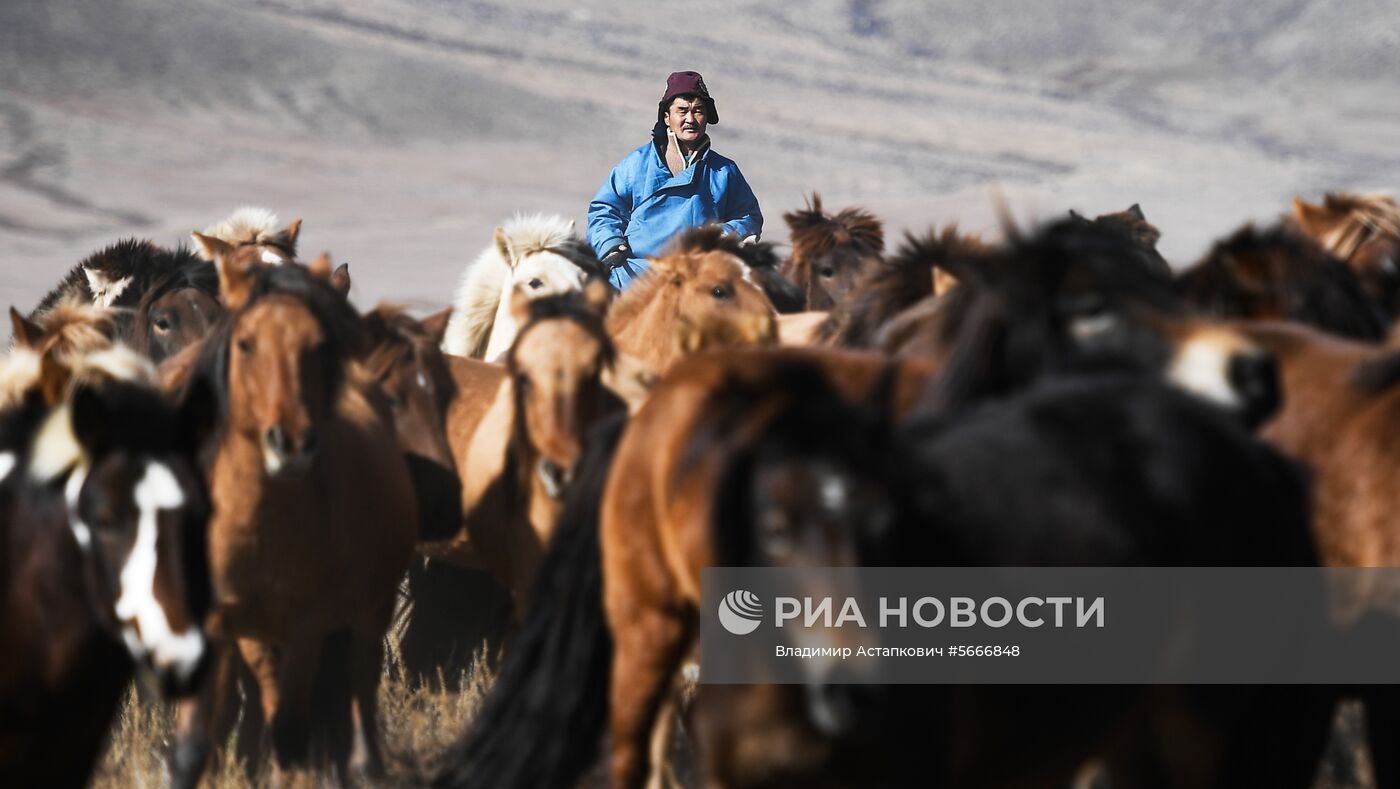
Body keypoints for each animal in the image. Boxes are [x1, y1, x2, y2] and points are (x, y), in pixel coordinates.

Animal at [172, 249, 417, 777]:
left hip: (369, 610)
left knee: (356, 685)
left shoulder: (308, 627)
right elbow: (197, 740)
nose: (290, 442)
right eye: (245, 344)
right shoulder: (224, 626)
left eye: (317, 345)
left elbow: (290, 730)